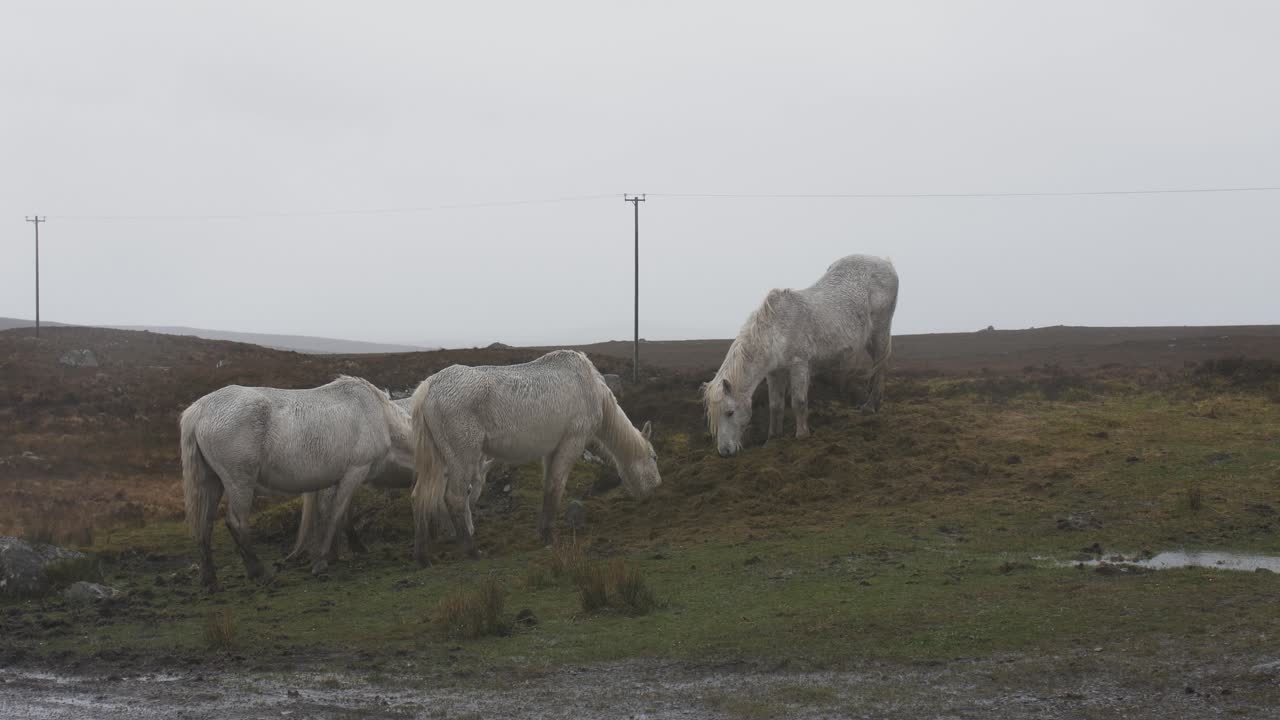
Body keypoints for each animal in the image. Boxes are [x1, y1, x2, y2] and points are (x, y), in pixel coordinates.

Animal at [180, 376, 414, 590]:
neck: (380, 415)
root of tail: (199, 410)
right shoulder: (355, 471)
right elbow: (335, 514)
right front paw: (322, 559)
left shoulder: (336, 479)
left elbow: (333, 513)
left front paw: (337, 552)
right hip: (239, 482)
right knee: (236, 522)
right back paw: (259, 572)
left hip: (212, 481)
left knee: (205, 523)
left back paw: (209, 578)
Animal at [408, 349, 661, 566]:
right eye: (654, 457)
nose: (655, 488)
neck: (592, 389)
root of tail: (429, 387)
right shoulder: (572, 441)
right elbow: (557, 486)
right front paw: (550, 536)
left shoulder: (551, 450)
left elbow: (549, 487)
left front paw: (543, 532)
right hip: (463, 458)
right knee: (455, 499)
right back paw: (472, 551)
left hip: (438, 460)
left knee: (420, 496)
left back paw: (423, 557)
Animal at [702, 254, 899, 457]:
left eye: (730, 412)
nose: (725, 451)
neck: (776, 330)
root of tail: (885, 263)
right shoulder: (774, 372)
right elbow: (776, 405)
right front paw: (773, 439)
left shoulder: (799, 365)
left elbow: (798, 401)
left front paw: (802, 435)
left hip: (880, 331)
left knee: (880, 365)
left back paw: (870, 406)